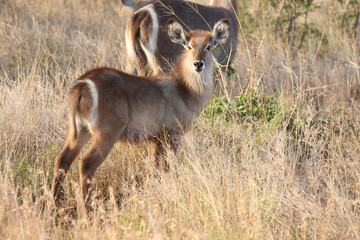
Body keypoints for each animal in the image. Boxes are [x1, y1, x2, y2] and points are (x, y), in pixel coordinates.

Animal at [51, 18, 229, 208]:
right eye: (189, 46)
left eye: (209, 46)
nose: (198, 64)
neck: (185, 89)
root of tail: (82, 85)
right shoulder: (173, 134)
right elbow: (168, 167)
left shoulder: (155, 138)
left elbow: (156, 168)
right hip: (106, 134)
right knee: (86, 164)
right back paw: (87, 209)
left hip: (78, 130)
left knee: (62, 160)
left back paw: (56, 206)